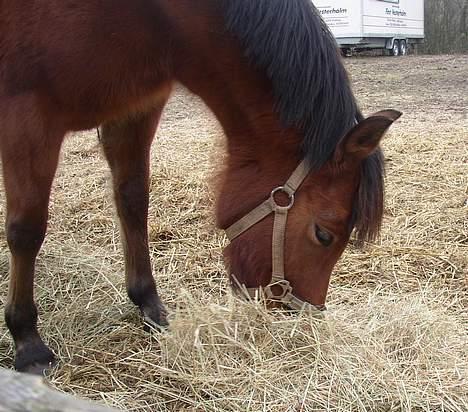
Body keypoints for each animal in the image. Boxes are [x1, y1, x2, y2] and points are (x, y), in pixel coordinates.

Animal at [1, 0, 400, 374]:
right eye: (323, 235)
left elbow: (133, 203)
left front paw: (148, 303)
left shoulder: (135, 111)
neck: (147, 17)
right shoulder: (27, 119)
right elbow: (26, 230)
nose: (302, 314)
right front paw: (27, 340)